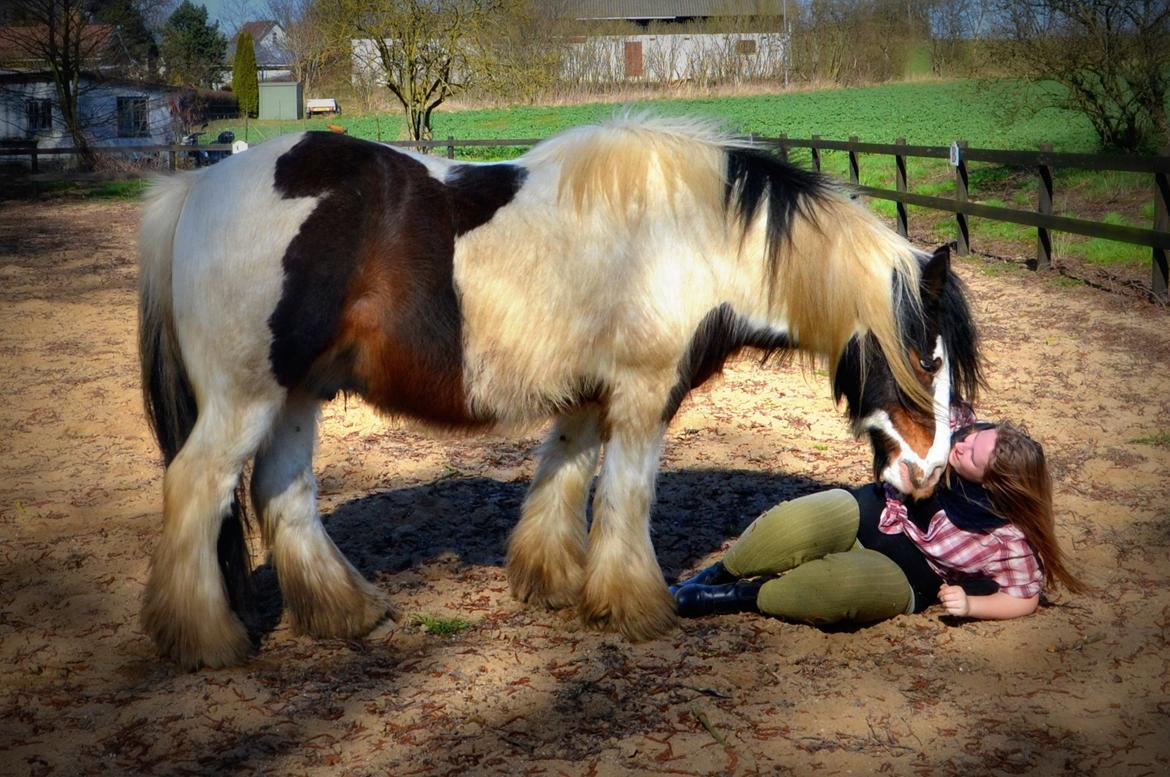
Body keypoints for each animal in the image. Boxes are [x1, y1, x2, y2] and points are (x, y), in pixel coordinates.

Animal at [134, 114, 978, 669]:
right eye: (926, 357)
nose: (931, 472)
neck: (690, 234)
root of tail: (198, 184)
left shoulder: (586, 396)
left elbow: (564, 478)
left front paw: (552, 581)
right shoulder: (643, 394)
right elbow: (628, 493)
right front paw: (636, 605)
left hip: (296, 394)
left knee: (283, 492)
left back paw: (345, 611)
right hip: (246, 395)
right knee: (197, 486)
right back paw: (207, 638)